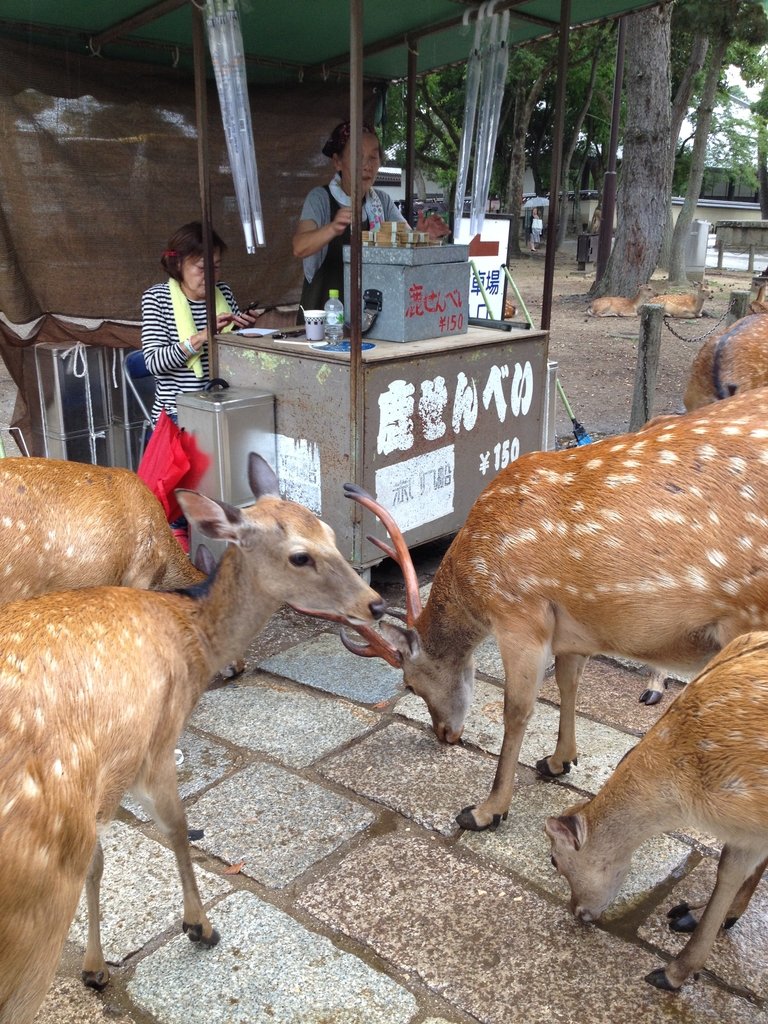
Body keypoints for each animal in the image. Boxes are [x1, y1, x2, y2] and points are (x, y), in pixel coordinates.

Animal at [0, 456, 385, 1024]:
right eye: (300, 555)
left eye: (331, 533)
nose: (375, 604)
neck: (190, 636)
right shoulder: (154, 745)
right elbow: (179, 830)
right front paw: (199, 927)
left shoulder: (105, 785)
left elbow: (99, 862)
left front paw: (95, 967)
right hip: (35, 912)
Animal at [335, 389, 768, 831]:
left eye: (408, 684)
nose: (445, 735)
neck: (475, 574)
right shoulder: (573, 627)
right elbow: (567, 683)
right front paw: (559, 761)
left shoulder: (520, 613)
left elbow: (517, 708)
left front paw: (486, 810)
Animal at [548, 630, 768, 991]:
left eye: (554, 860)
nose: (576, 910)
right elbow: (730, 868)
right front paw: (699, 916)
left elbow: (730, 871)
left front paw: (672, 972)